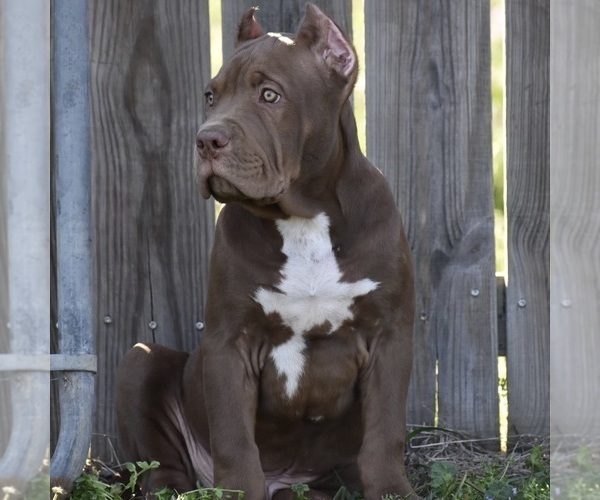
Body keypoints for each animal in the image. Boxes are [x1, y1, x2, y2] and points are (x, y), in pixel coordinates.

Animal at [118, 4, 418, 500]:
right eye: (210, 96)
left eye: (270, 95)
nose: (207, 139)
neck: (304, 219)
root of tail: (285, 482)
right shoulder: (229, 344)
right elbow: (235, 440)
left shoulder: (389, 337)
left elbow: (385, 433)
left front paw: (392, 489)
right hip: (140, 360)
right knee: (162, 467)